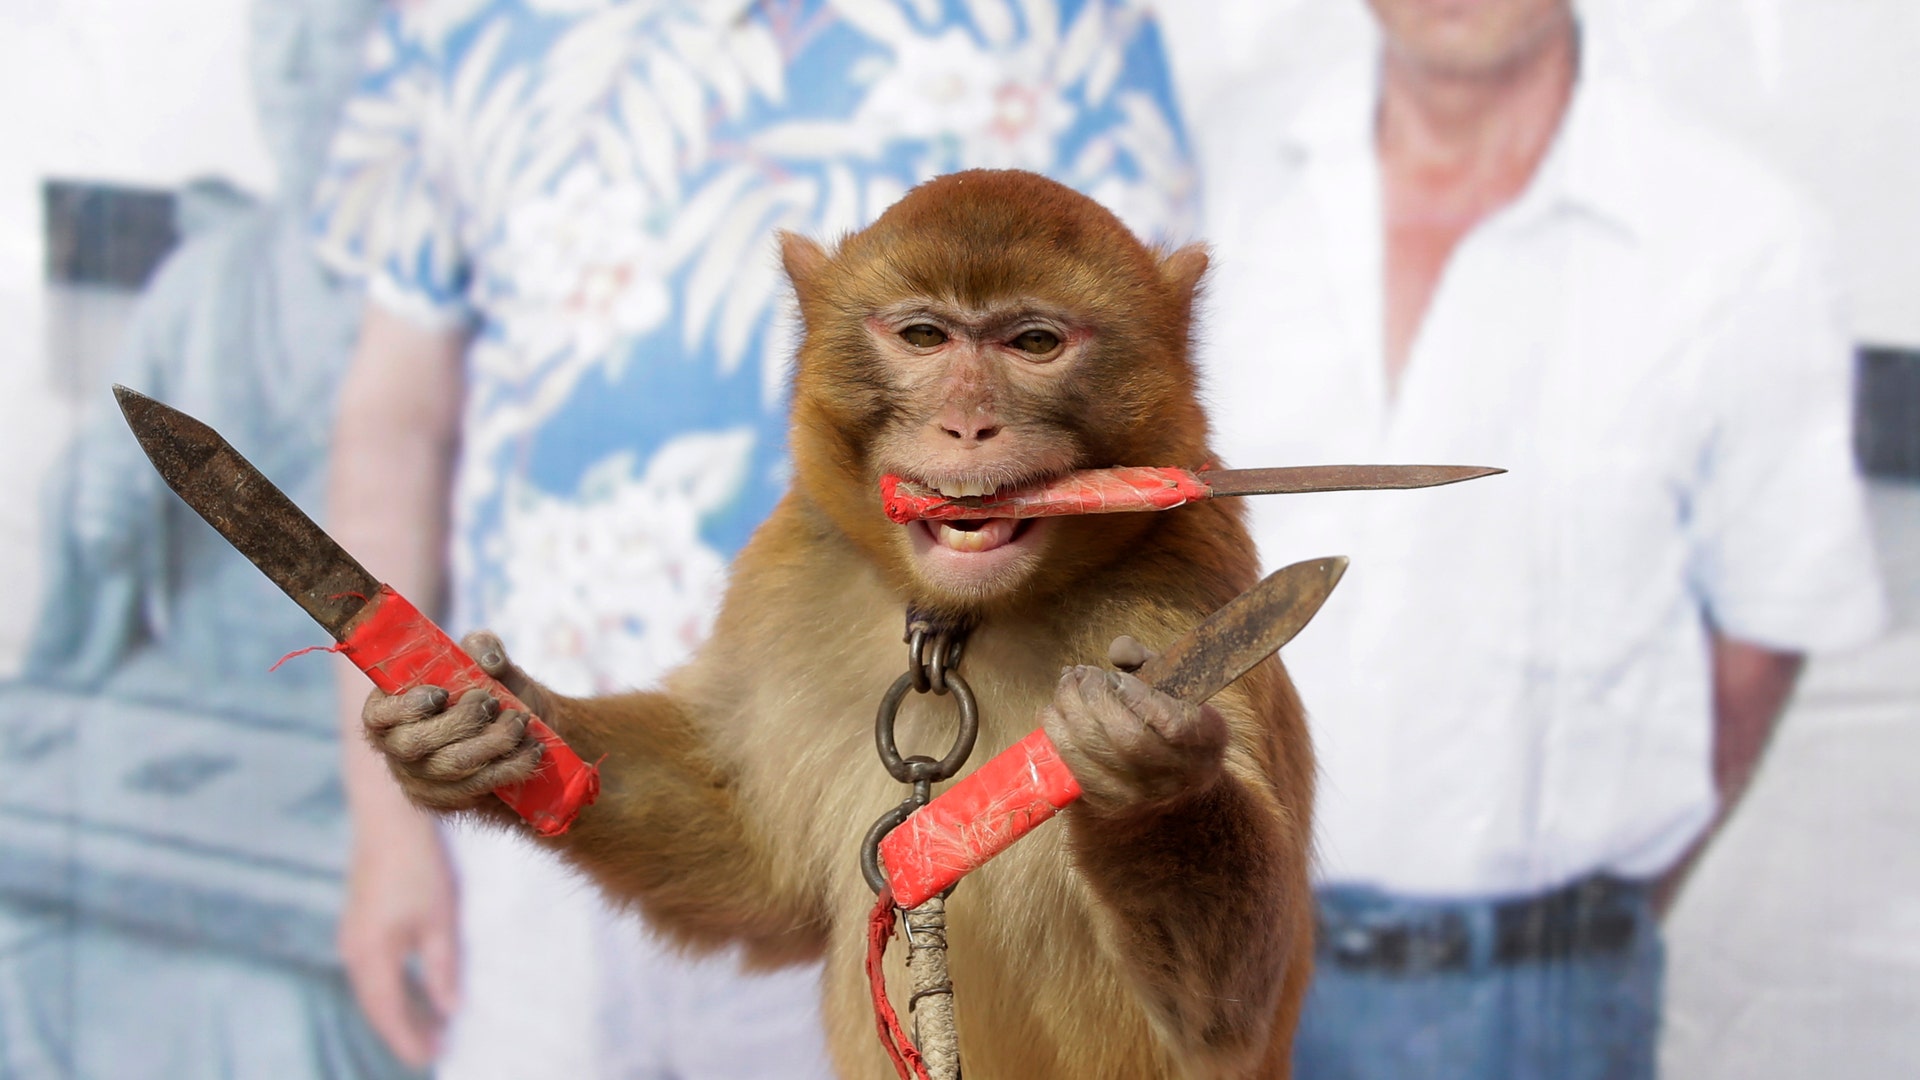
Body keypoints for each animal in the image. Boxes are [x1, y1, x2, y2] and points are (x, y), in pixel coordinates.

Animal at [361, 169, 1315, 1079]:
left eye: (1035, 344)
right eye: (925, 337)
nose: (969, 423)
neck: (974, 617)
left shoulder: (1182, 592)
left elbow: (1225, 1018)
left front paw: (1148, 778)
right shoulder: (791, 576)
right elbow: (750, 856)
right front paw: (472, 723)